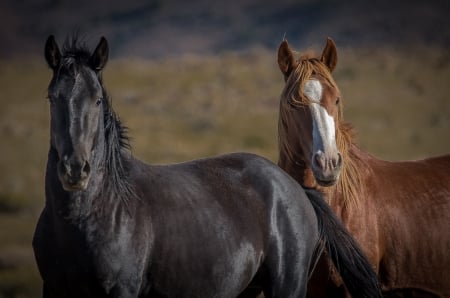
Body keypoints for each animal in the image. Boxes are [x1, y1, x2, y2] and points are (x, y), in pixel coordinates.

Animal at [33, 35, 382, 298]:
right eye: (52, 98)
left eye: (97, 100)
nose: (75, 169)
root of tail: (297, 187)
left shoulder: (123, 291)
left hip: (287, 287)